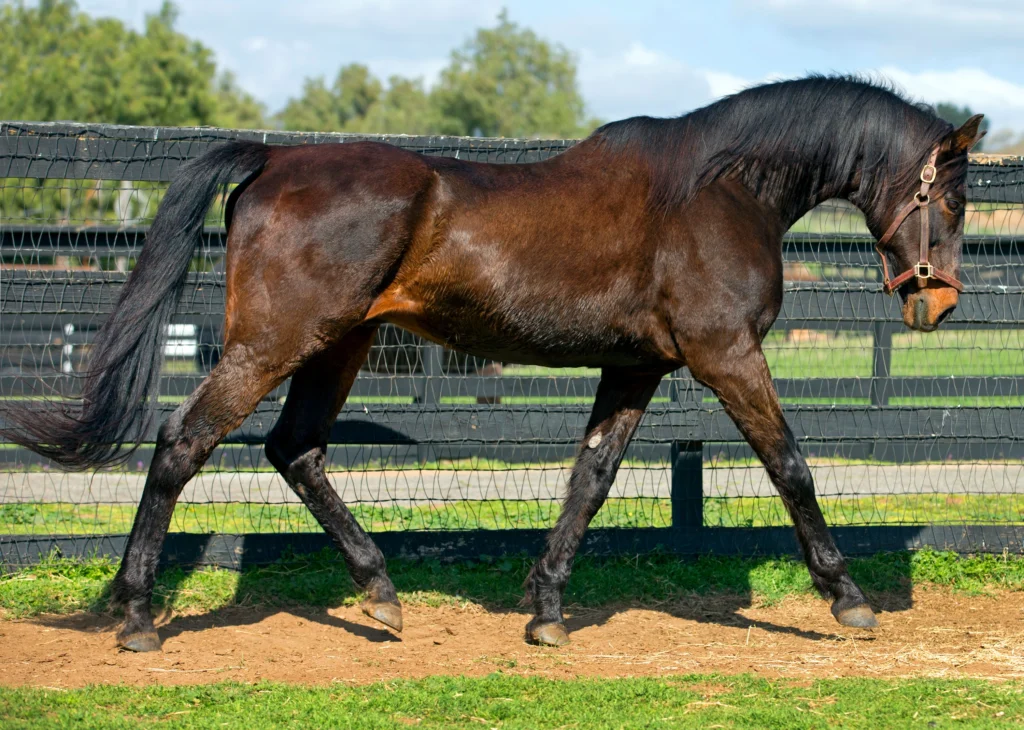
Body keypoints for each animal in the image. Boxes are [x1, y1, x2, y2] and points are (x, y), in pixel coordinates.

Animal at [1, 75, 984, 652]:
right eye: (956, 198)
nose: (938, 303)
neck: (719, 189)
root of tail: (276, 159)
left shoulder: (635, 369)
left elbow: (590, 478)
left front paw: (546, 610)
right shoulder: (726, 356)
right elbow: (791, 466)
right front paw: (848, 600)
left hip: (338, 346)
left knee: (295, 450)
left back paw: (381, 594)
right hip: (273, 343)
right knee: (181, 444)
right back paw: (137, 617)